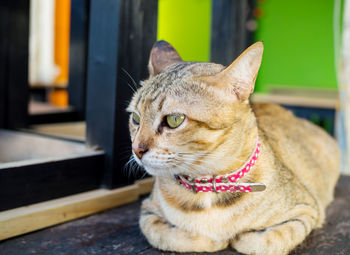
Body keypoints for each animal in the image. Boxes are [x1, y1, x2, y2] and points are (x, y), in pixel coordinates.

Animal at [127, 40, 340, 254]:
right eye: (135, 118)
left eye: (174, 119)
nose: (137, 149)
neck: (207, 189)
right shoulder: (148, 212)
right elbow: (171, 236)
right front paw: (212, 240)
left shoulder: (306, 210)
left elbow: (265, 242)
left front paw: (238, 237)